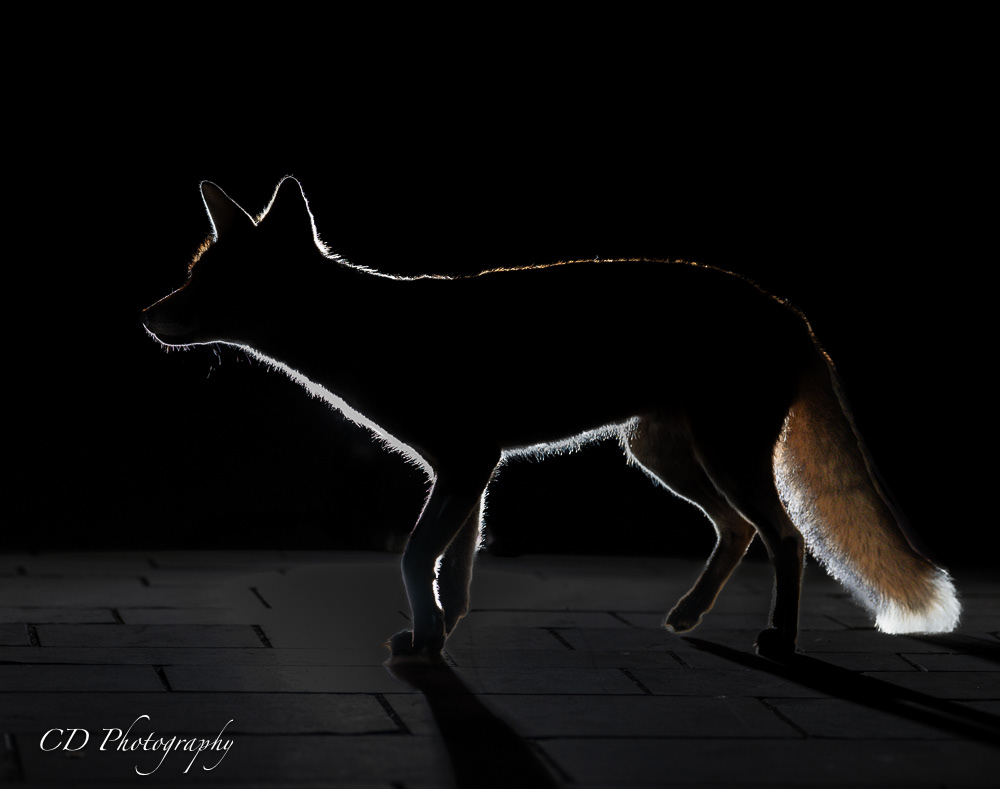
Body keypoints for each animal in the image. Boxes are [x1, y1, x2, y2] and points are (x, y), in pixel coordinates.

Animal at [143, 176, 960, 663]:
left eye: (209, 283)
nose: (146, 318)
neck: (374, 334)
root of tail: (788, 309)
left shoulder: (465, 463)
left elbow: (415, 557)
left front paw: (428, 636)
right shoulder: (469, 472)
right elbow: (454, 567)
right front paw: (439, 635)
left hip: (720, 456)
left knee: (785, 537)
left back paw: (779, 640)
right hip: (664, 457)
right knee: (736, 532)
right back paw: (689, 615)